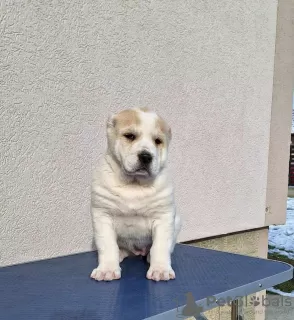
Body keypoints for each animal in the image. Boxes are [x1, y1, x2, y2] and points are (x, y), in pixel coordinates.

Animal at [90, 107, 180, 280]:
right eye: (130, 136)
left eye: (157, 141)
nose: (146, 156)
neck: (134, 184)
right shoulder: (103, 215)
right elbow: (107, 245)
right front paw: (107, 269)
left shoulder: (163, 217)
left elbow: (160, 246)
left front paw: (160, 269)